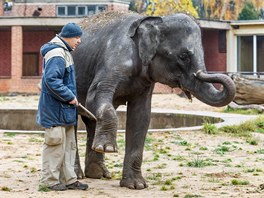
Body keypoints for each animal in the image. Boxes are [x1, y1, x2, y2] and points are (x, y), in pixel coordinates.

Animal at [71, 11, 235, 190]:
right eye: (183, 56)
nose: (199, 74)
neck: (155, 20)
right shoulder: (115, 58)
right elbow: (93, 97)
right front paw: (107, 148)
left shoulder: (147, 81)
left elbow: (141, 116)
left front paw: (136, 185)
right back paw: (79, 175)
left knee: (91, 121)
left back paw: (98, 174)